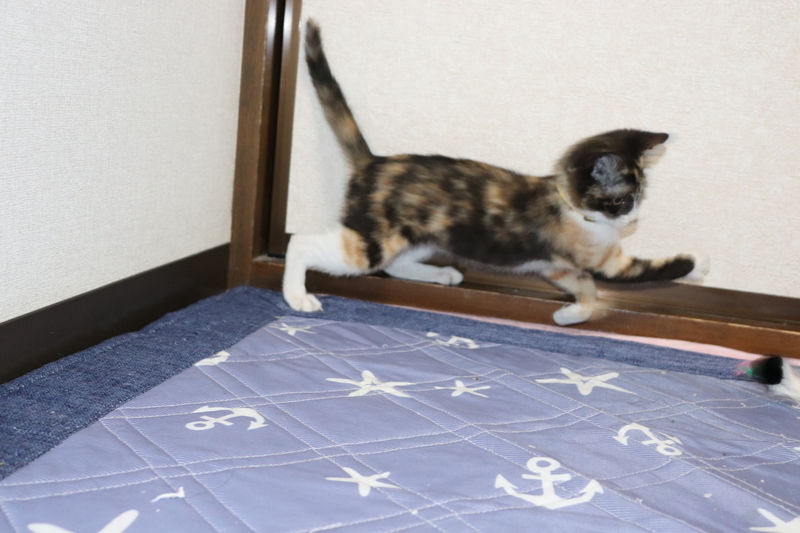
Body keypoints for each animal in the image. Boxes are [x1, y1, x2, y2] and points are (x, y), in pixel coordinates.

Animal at [283, 19, 708, 326]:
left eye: (639, 198)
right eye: (621, 201)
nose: (633, 220)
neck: (570, 205)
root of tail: (375, 161)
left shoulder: (558, 266)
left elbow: (589, 293)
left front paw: (569, 315)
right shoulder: (603, 262)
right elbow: (643, 270)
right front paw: (697, 263)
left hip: (424, 233)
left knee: (394, 264)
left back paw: (443, 275)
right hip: (376, 237)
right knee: (305, 243)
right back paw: (296, 294)